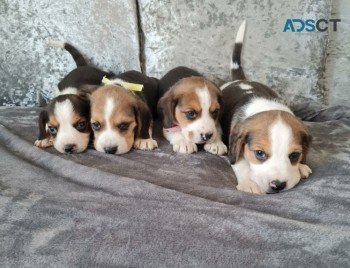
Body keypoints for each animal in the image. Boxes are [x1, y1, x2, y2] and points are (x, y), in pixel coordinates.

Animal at [220, 21, 314, 193]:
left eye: (294, 156)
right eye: (259, 153)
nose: (278, 185)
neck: (266, 106)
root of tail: (240, 80)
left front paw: (301, 166)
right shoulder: (234, 146)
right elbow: (241, 163)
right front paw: (249, 183)